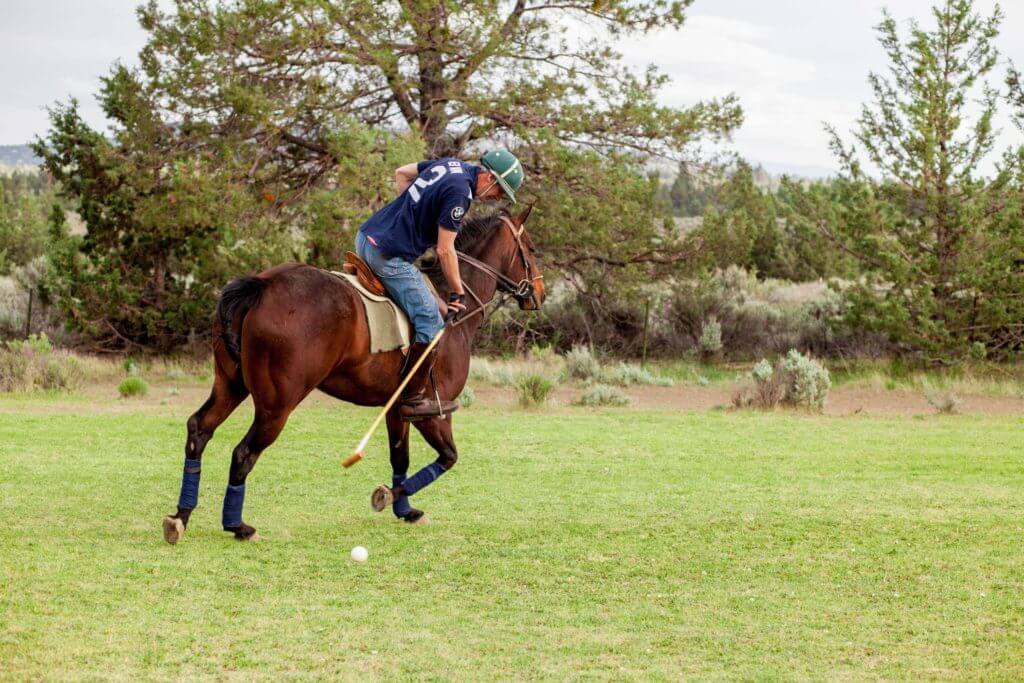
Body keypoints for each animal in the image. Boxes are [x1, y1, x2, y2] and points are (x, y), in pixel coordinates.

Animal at [160, 205, 548, 540]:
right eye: (530, 248)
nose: (540, 294)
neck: (457, 308)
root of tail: (262, 285)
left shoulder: (397, 408)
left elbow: (400, 456)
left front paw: (405, 510)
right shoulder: (434, 411)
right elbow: (449, 457)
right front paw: (386, 496)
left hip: (231, 384)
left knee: (199, 428)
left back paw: (181, 516)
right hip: (277, 404)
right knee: (243, 453)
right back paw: (237, 526)